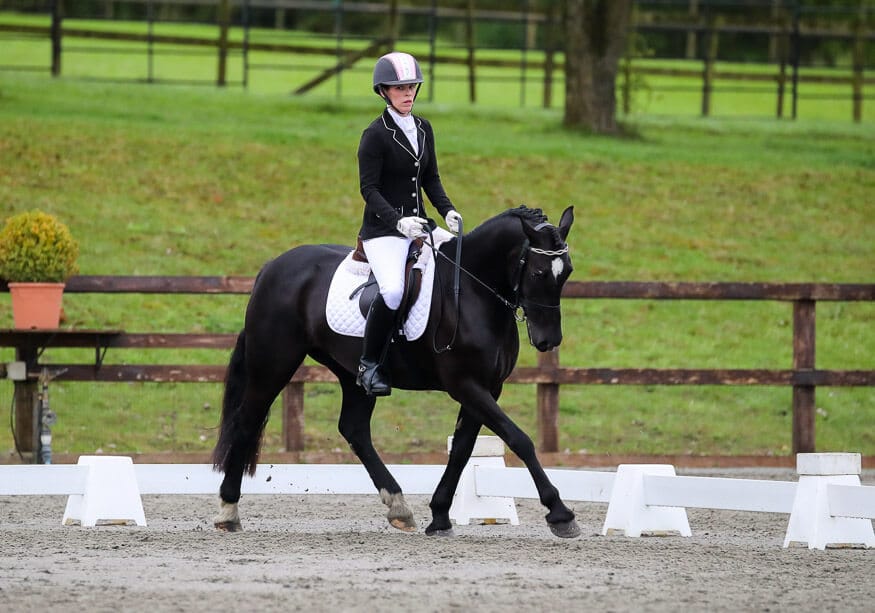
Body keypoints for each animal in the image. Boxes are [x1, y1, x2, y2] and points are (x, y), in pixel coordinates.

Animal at [212, 204, 580, 538]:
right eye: (538, 273)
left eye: (567, 272)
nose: (548, 340)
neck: (473, 290)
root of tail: (272, 267)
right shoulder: (466, 384)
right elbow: (519, 439)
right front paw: (560, 513)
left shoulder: (487, 387)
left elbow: (462, 449)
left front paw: (440, 516)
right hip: (273, 363)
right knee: (247, 422)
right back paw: (228, 511)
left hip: (353, 374)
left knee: (354, 430)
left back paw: (399, 507)